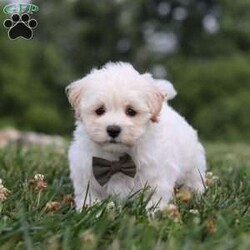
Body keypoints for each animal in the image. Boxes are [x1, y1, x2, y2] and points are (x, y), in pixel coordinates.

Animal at [66, 61, 205, 210]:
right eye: (100, 110)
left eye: (131, 111)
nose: (113, 129)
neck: (116, 159)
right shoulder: (86, 175)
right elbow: (89, 197)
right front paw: (91, 209)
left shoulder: (156, 175)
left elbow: (154, 197)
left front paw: (152, 212)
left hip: (193, 164)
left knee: (194, 179)